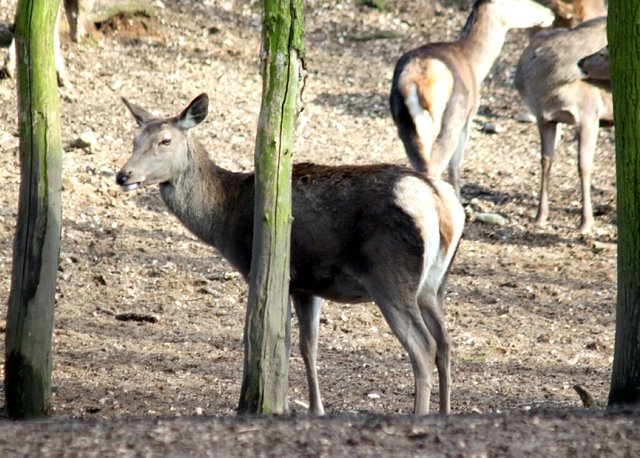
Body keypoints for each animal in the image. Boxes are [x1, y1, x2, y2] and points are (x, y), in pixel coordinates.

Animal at [115, 92, 464, 416]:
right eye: (134, 140)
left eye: (165, 140)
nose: (123, 175)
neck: (224, 219)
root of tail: (439, 201)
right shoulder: (308, 285)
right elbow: (308, 345)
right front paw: (315, 409)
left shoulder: (268, 271)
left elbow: (274, 340)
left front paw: (278, 405)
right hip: (433, 284)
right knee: (445, 343)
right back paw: (445, 414)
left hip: (390, 276)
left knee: (424, 346)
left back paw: (418, 415)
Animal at [390, 0, 556, 197]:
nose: (550, 13)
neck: (475, 64)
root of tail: (419, 81)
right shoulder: (468, 119)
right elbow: (455, 168)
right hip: (451, 119)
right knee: (435, 167)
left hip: (405, 123)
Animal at [516, 16, 608, 233]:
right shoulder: (544, 117)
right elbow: (546, 160)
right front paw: (540, 217)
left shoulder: (589, 113)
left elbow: (583, 164)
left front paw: (586, 222)